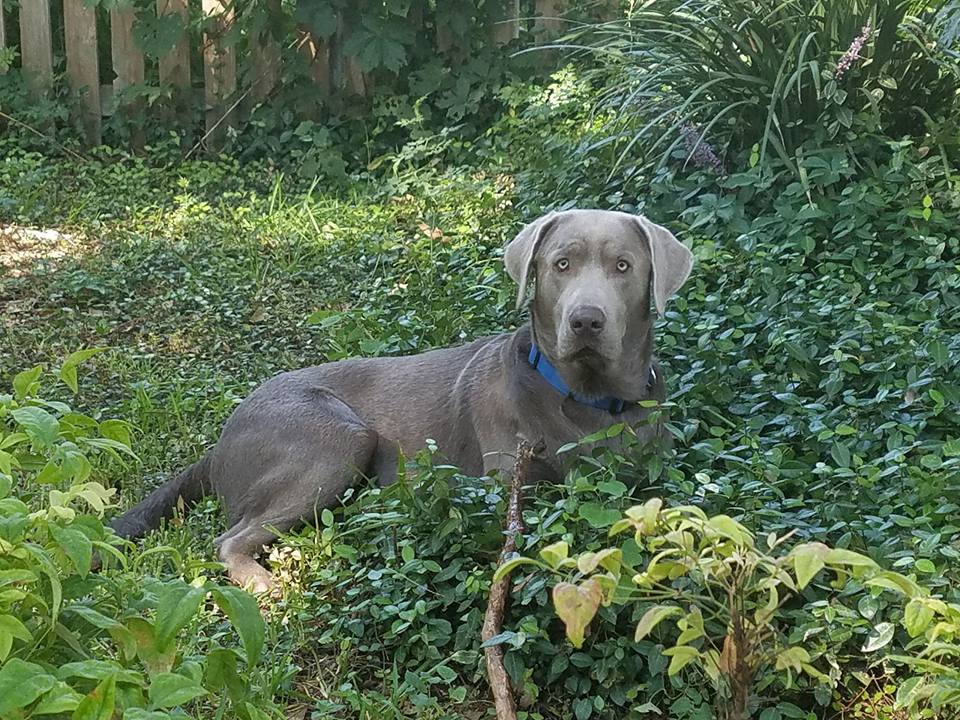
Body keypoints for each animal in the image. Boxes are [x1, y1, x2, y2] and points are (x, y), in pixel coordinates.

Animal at [112, 208, 692, 592]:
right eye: (561, 265)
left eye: (623, 266)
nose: (586, 320)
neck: (588, 400)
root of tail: (222, 438)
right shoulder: (508, 485)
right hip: (337, 438)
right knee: (230, 539)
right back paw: (267, 586)